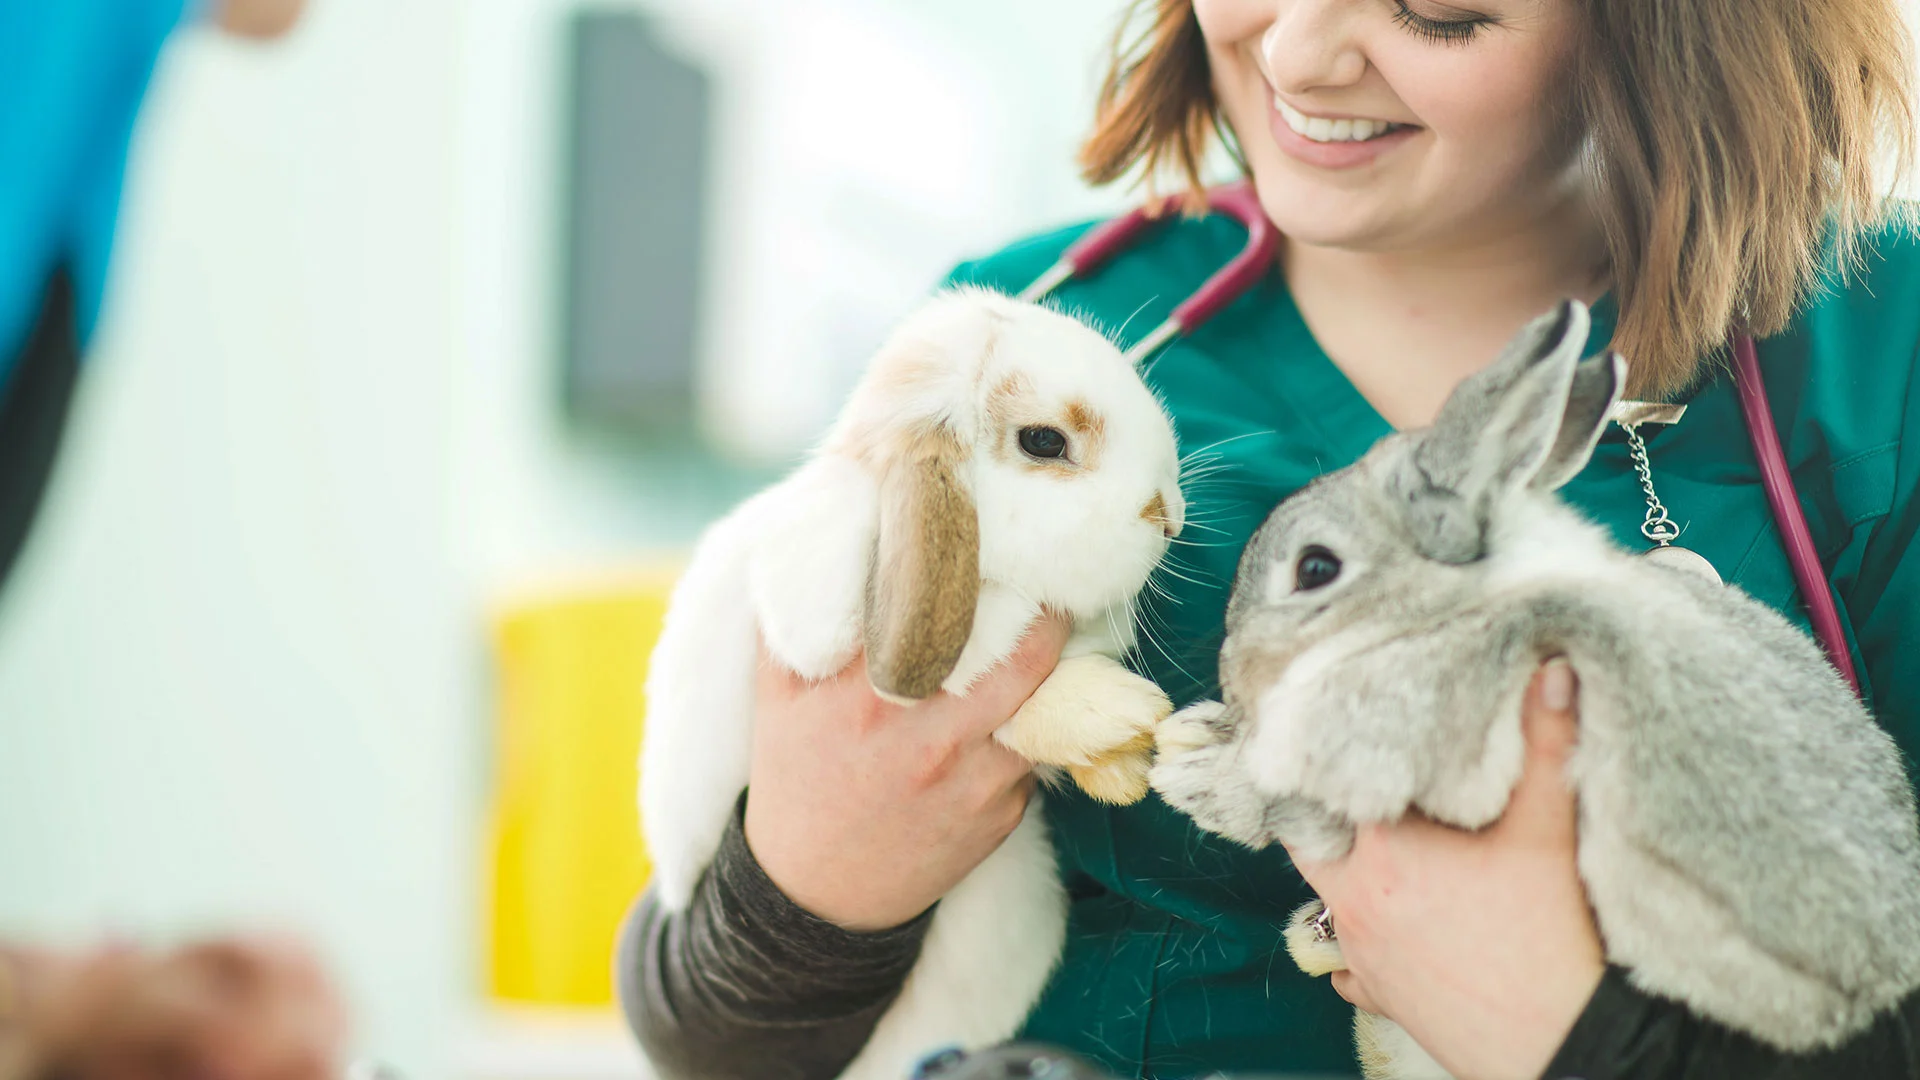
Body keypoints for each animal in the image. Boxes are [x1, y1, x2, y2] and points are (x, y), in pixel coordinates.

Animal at [645, 284, 1182, 1076]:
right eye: (1045, 442)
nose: (1170, 513)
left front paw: (1118, 769)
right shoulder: (825, 623)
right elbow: (996, 662)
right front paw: (1114, 716)